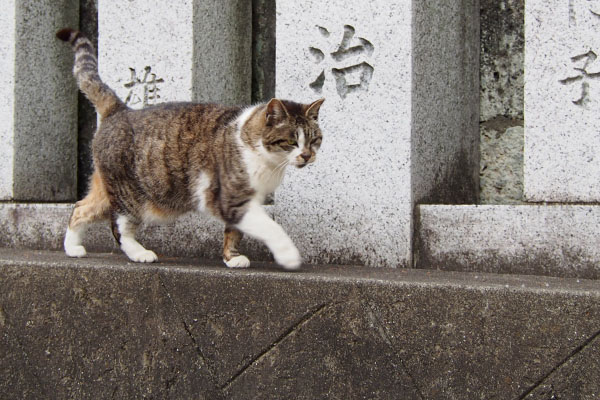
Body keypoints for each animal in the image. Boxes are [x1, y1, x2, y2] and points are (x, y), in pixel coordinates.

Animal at [57, 28, 324, 270]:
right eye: (291, 141)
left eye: (314, 140)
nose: (307, 155)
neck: (268, 162)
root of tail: (120, 110)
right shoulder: (228, 198)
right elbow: (270, 226)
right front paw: (288, 255)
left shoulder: (244, 200)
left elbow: (234, 232)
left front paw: (232, 258)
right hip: (131, 195)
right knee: (119, 225)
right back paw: (140, 253)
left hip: (107, 189)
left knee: (80, 208)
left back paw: (73, 248)